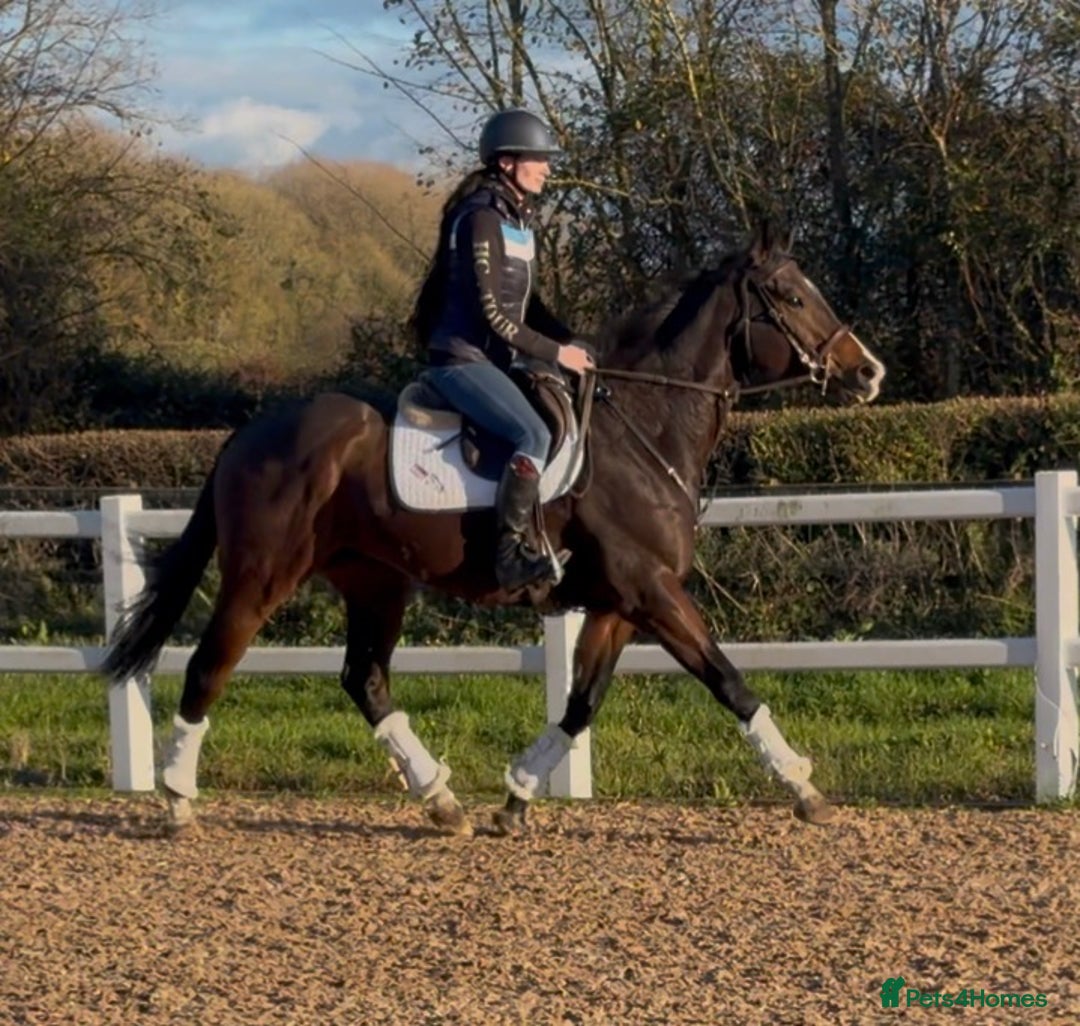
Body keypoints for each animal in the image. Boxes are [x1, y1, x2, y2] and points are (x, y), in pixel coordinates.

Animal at [103, 222, 885, 835]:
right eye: (791, 297)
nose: (868, 372)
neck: (644, 426)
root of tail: (246, 435)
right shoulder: (651, 590)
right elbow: (729, 681)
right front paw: (803, 786)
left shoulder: (619, 604)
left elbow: (581, 704)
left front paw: (517, 798)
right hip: (263, 575)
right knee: (210, 666)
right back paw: (176, 799)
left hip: (377, 583)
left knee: (365, 680)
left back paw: (440, 801)